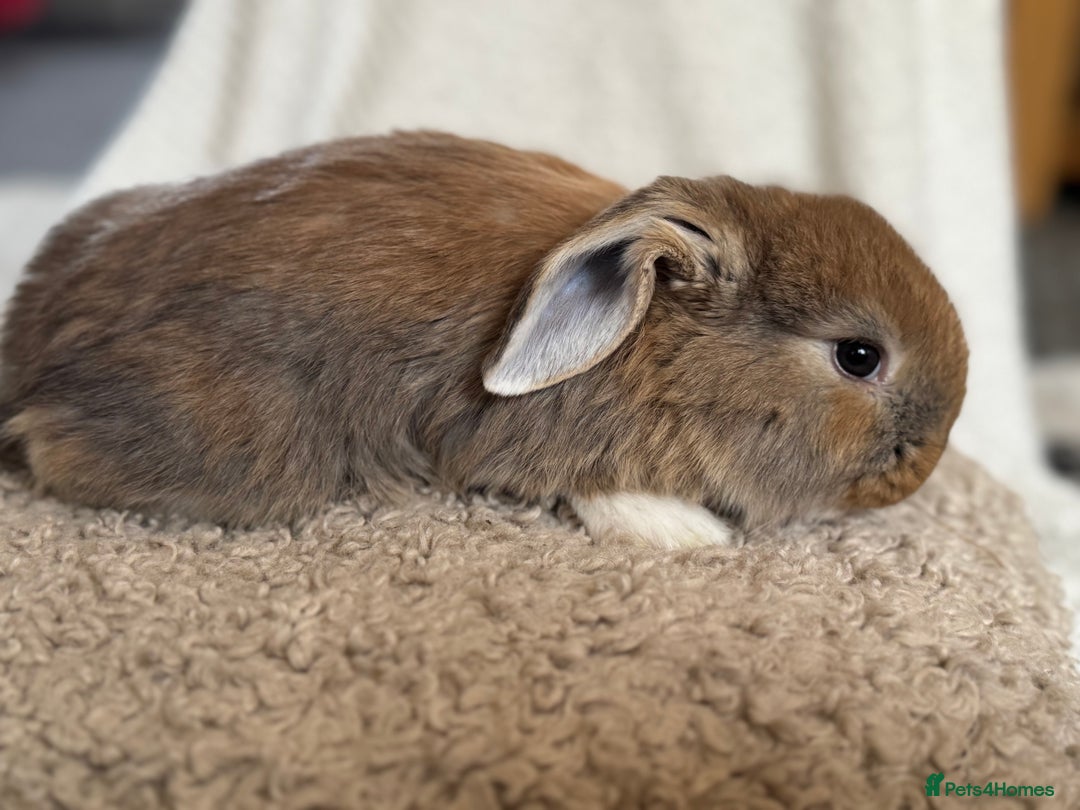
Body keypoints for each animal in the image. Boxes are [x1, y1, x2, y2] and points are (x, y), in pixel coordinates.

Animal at [0, 131, 967, 547]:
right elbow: (588, 488)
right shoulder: (531, 442)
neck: (657, 347)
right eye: (858, 356)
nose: (920, 468)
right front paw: (688, 532)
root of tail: (29, 350)